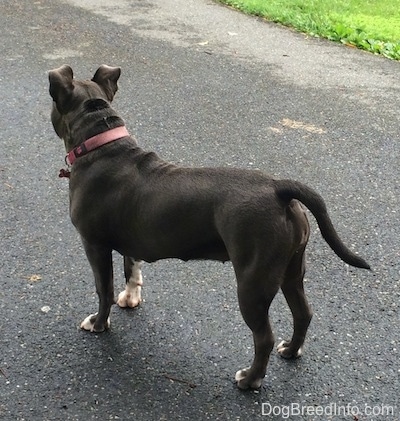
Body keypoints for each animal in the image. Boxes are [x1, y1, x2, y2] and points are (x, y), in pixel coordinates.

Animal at [47, 64, 368, 388]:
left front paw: (99, 324)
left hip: (253, 282)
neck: (103, 144)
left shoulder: (94, 245)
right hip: (291, 270)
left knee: (263, 336)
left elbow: (104, 289)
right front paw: (131, 298)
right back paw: (291, 350)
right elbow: (131, 269)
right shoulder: (131, 240)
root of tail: (279, 188)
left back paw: (250, 379)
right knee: (303, 313)